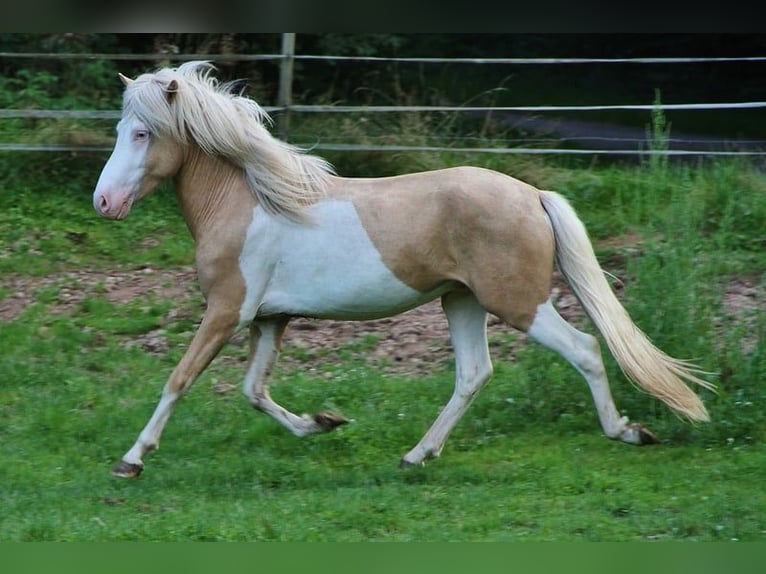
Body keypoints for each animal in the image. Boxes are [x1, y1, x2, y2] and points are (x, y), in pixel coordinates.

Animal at [93, 61, 714, 478]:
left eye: (142, 133)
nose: (104, 203)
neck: (249, 201)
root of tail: (534, 195)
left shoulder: (227, 311)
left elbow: (179, 380)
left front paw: (131, 459)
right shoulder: (270, 319)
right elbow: (254, 390)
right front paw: (322, 423)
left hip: (518, 302)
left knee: (584, 349)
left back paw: (628, 432)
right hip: (460, 301)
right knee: (474, 373)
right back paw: (417, 455)